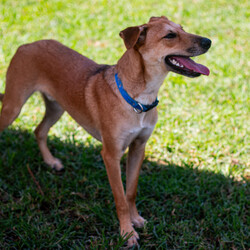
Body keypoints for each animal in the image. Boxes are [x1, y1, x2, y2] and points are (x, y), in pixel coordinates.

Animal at [0, 16, 211, 247]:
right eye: (170, 35)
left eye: (182, 28)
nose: (208, 41)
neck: (138, 98)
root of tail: (27, 45)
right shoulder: (111, 155)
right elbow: (120, 198)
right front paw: (127, 233)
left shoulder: (138, 148)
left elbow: (131, 192)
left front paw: (135, 219)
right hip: (13, 106)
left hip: (57, 108)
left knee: (39, 131)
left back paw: (50, 161)